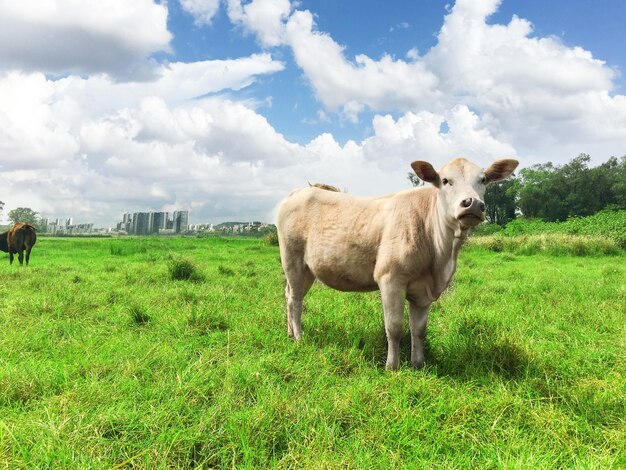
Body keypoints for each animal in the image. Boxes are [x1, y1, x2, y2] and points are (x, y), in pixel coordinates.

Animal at [276, 158, 516, 370]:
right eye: (446, 180)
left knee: (289, 295)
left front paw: (418, 364)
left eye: (483, 179)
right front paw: (392, 366)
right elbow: (394, 327)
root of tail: (299, 191)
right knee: (295, 300)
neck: (440, 259)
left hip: (308, 269)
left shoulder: (424, 291)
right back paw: (299, 337)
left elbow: (419, 330)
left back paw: (289, 333)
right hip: (292, 259)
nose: (472, 203)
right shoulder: (390, 279)